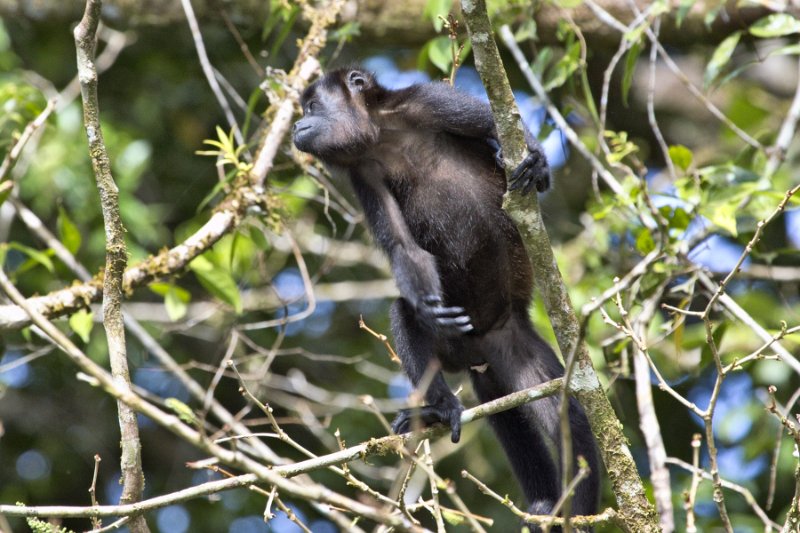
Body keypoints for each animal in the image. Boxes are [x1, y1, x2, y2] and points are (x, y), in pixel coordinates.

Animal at [294, 66, 600, 524]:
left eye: (312, 107)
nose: (296, 126)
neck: (381, 132)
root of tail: (480, 347)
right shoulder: (363, 173)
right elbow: (404, 248)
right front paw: (426, 306)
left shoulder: (428, 100)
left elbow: (493, 121)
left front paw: (538, 161)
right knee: (403, 316)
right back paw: (440, 407)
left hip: (514, 341)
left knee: (568, 417)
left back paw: (574, 510)